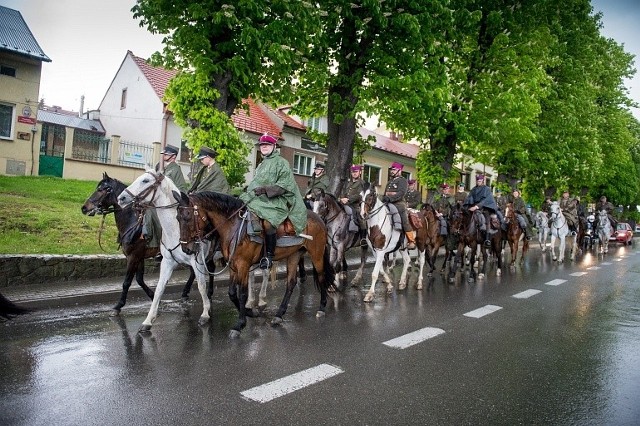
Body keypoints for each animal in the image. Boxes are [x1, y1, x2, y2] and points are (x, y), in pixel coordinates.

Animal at [81, 171, 212, 314]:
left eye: (101, 189)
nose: (84, 208)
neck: (133, 221)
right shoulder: (139, 257)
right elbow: (139, 280)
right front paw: (153, 297)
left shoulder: (133, 256)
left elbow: (127, 282)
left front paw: (119, 305)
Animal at [117, 170, 212, 332]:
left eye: (145, 180)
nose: (121, 198)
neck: (176, 228)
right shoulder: (167, 262)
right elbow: (159, 289)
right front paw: (148, 320)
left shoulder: (197, 260)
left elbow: (201, 285)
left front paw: (205, 313)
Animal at [175, 191, 336, 338]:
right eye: (177, 218)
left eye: (188, 216)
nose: (186, 249)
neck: (234, 227)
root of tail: (319, 219)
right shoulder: (233, 266)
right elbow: (232, 293)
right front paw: (251, 312)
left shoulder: (243, 266)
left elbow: (242, 294)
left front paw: (240, 324)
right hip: (294, 255)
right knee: (291, 283)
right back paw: (279, 315)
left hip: (316, 254)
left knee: (321, 277)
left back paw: (321, 307)